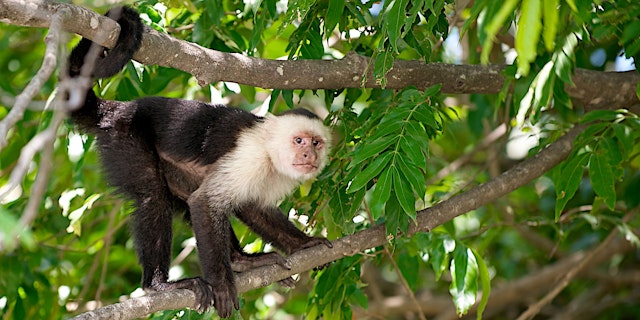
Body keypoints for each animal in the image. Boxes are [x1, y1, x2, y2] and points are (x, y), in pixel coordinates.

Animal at [63, 6, 336, 318]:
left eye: (316, 143)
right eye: (299, 141)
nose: (309, 156)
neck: (269, 153)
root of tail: (119, 109)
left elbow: (253, 208)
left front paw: (303, 243)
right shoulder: (249, 156)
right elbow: (205, 204)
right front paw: (221, 284)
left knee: (189, 197)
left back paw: (240, 261)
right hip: (127, 137)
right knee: (154, 197)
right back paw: (158, 285)